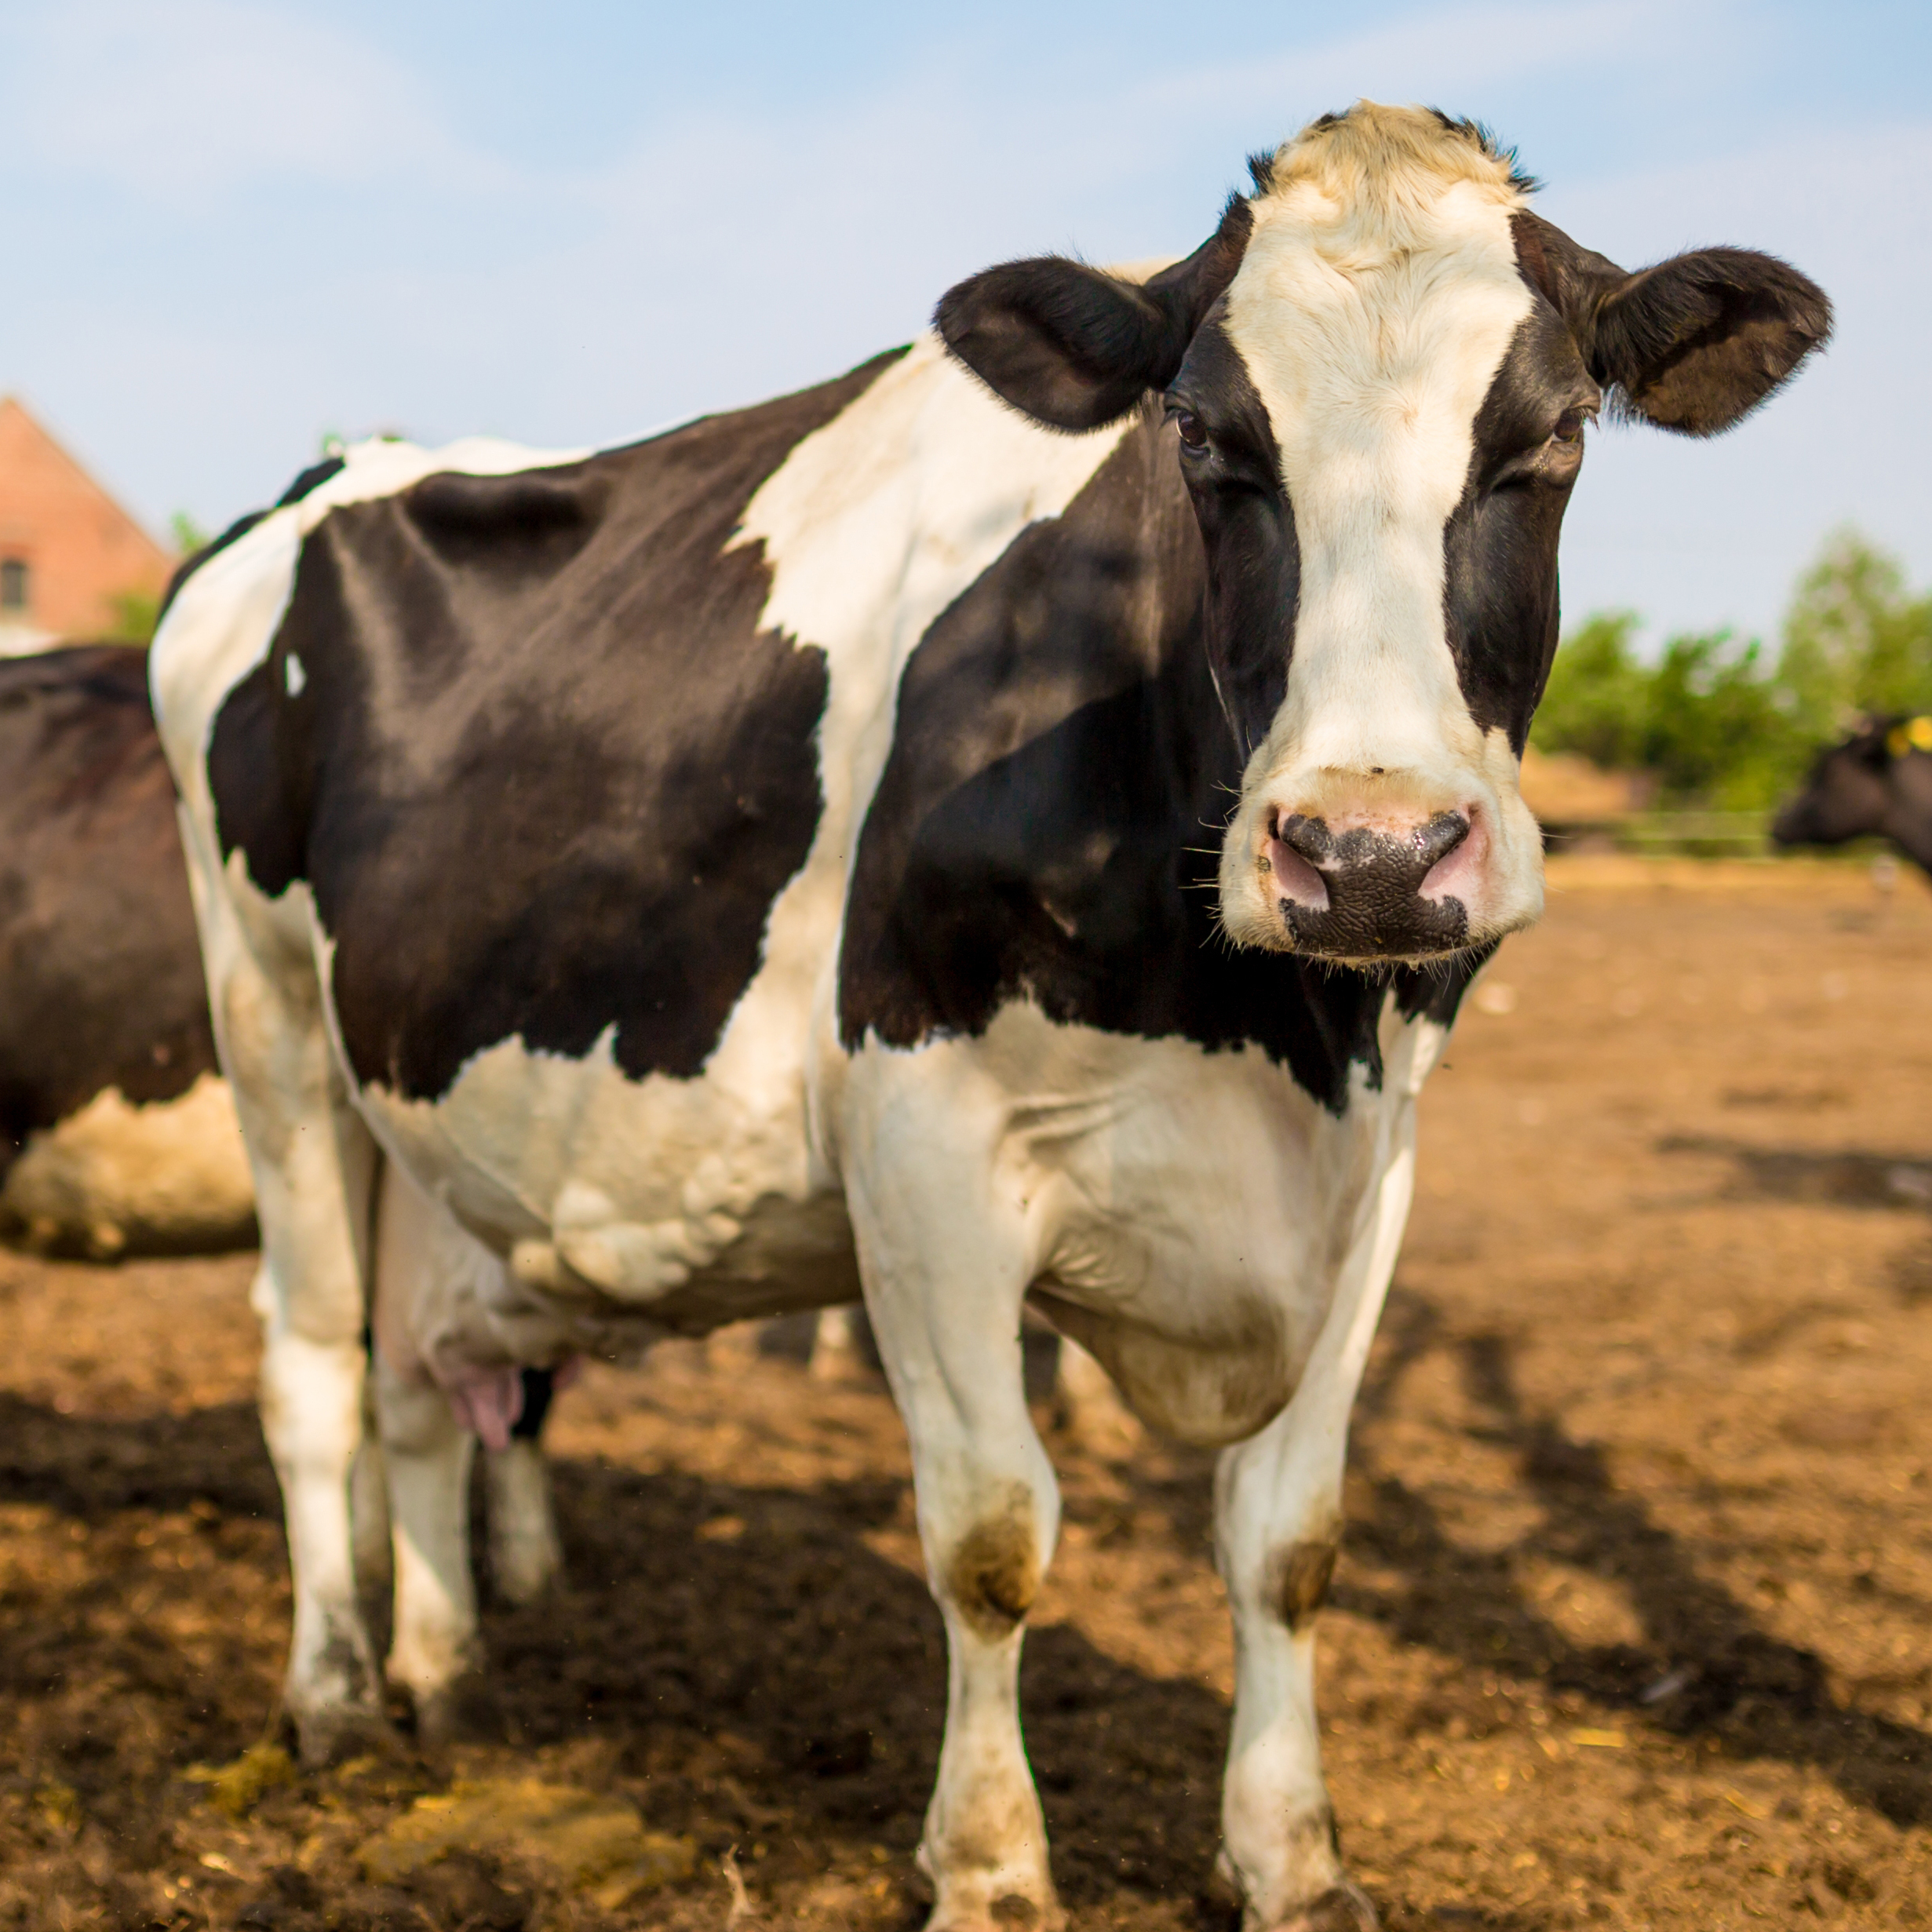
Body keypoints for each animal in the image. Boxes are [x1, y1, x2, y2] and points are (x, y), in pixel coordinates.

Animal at [151, 103, 1828, 1931]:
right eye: (1206, 440)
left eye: (1555, 433)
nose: (1366, 853)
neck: (1264, 1038)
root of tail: (338, 476)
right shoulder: (925, 1155)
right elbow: (988, 1535)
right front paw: (992, 1864)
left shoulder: (1375, 1167)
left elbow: (1288, 1538)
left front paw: (1291, 1857)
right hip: (267, 1018)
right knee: (312, 1361)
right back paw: (329, 1693)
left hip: (419, 1097)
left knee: (412, 1375)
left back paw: (442, 1673)